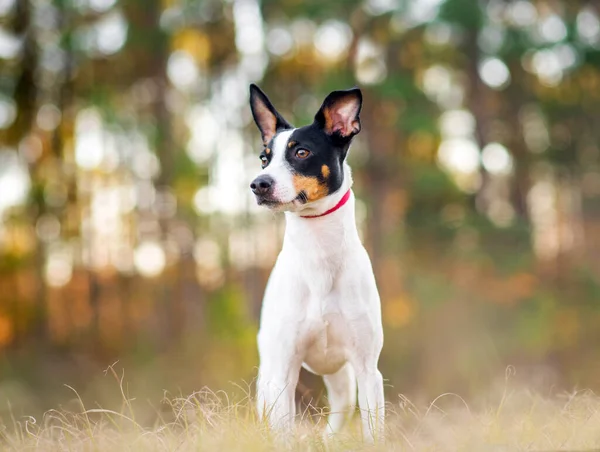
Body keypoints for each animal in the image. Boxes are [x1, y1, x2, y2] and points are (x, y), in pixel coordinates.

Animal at [247, 82, 384, 442]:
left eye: (301, 153)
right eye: (264, 158)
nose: (258, 184)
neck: (320, 256)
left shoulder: (367, 369)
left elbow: (374, 429)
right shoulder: (283, 372)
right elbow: (282, 431)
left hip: (343, 378)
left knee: (339, 411)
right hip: (268, 376)